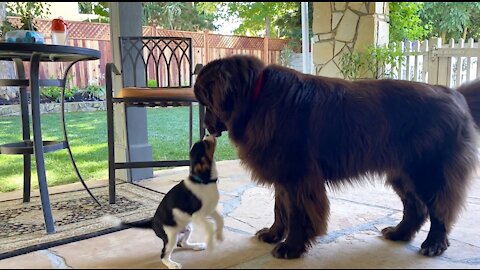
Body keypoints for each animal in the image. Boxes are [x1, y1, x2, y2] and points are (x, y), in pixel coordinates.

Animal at [122, 134, 223, 268]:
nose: (207, 134)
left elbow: (220, 219)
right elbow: (210, 226)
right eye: (205, 144)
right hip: (171, 237)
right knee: (163, 254)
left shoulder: (210, 209)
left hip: (187, 228)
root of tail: (152, 222)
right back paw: (172, 264)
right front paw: (212, 243)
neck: (204, 180)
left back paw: (196, 246)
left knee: (182, 243)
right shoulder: (198, 215)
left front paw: (220, 235)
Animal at [193, 54, 480, 260]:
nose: (205, 126)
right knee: (416, 206)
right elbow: (280, 208)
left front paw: (291, 247)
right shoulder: (283, 173)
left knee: (440, 207)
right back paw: (399, 233)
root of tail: (456, 94)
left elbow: (296, 213)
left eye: (206, 101)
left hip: (428, 170)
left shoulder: (297, 175)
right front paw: (273, 234)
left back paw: (434, 244)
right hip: (402, 172)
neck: (255, 97)